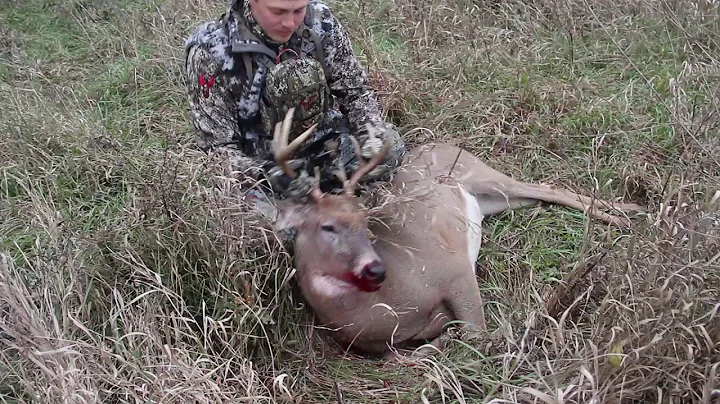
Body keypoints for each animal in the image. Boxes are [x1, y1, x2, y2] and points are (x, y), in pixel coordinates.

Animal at [268, 107, 644, 357]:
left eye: (364, 221)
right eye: (327, 225)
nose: (375, 268)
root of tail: (441, 144)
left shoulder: (453, 268)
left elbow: (475, 333)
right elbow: (405, 355)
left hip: (480, 174)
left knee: (546, 187)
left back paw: (627, 214)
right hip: (493, 200)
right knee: (540, 193)